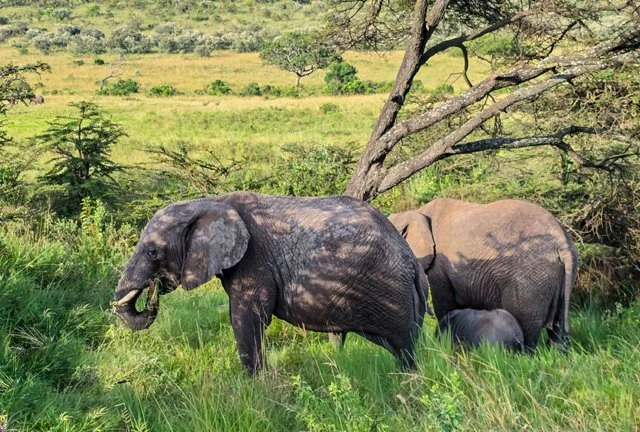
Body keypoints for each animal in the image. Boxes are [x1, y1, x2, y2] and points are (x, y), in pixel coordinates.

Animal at [114, 192, 427, 374]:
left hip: (392, 293)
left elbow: (247, 317)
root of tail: (413, 263)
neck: (208, 201)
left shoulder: (254, 258)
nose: (154, 289)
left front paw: (254, 387)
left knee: (405, 349)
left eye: (152, 252)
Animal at [388, 198, 578, 351]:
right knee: (559, 325)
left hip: (530, 278)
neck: (418, 212)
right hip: (563, 272)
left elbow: (444, 302)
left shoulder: (440, 266)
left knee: (528, 326)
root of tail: (560, 235)